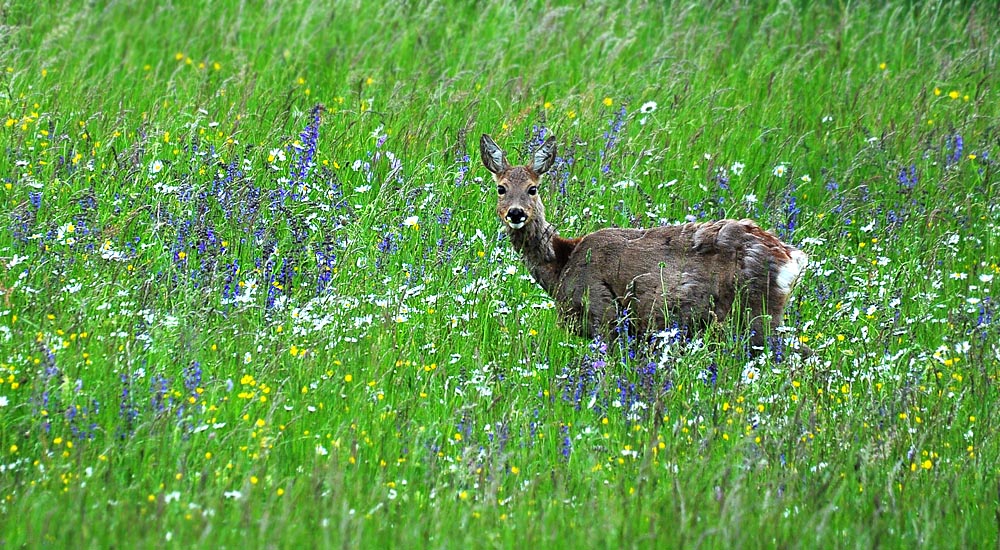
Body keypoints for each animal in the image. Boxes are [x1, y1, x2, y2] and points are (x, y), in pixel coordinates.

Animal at [480, 133, 810, 355]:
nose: (516, 213)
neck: (563, 263)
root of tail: (792, 258)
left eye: (532, 188)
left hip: (756, 314)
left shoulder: (605, 314)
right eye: (501, 188)